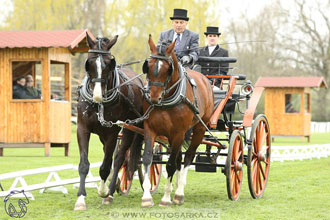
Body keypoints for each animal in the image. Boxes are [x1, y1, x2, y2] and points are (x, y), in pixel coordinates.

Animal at [75, 33, 144, 211]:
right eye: (89, 63)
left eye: (109, 64)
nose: (97, 96)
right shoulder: (82, 128)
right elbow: (84, 164)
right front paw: (80, 199)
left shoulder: (112, 133)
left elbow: (106, 166)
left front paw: (104, 192)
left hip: (129, 128)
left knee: (120, 159)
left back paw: (111, 192)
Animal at [140, 35, 214, 206]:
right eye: (148, 66)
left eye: (168, 69)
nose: (154, 98)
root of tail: (205, 79)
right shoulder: (150, 129)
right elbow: (147, 159)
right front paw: (146, 197)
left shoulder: (178, 132)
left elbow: (170, 164)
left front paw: (166, 198)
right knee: (180, 158)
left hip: (199, 128)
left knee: (188, 157)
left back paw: (179, 193)